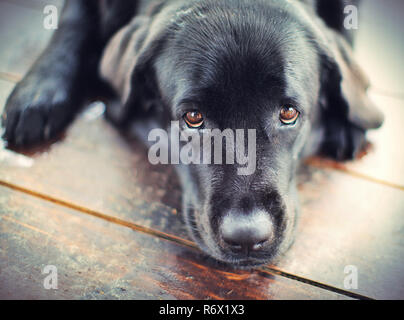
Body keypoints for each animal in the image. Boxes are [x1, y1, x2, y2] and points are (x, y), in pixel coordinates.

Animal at [1, 0, 384, 268]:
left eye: (289, 112)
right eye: (193, 117)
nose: (247, 237)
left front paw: (348, 118)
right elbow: (72, 21)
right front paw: (38, 92)